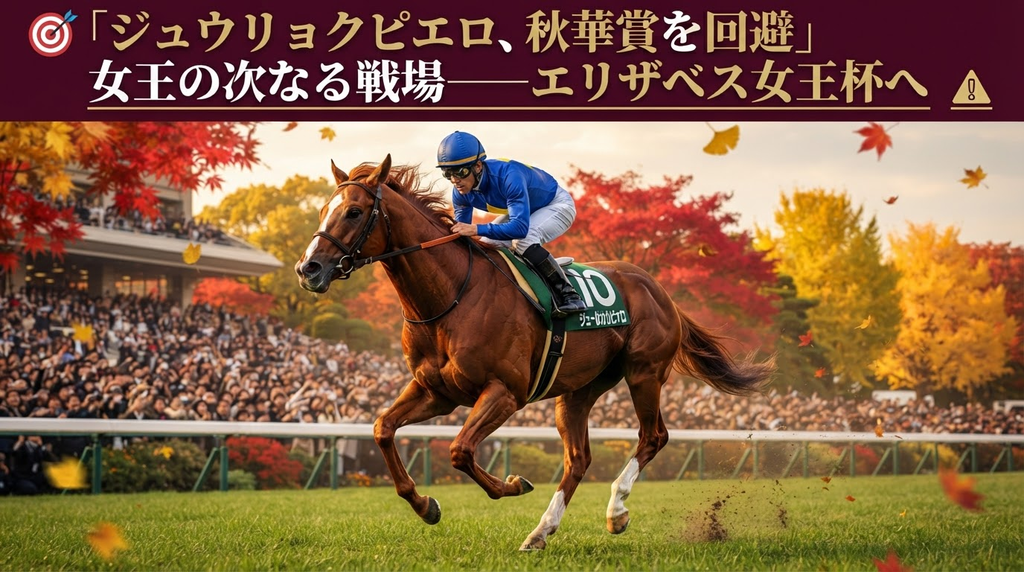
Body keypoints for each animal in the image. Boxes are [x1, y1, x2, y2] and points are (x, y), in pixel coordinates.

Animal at [295, 155, 775, 551]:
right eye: (322, 211)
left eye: (354, 212)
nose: (308, 269)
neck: (450, 297)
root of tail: (660, 290)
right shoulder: (436, 392)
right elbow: (382, 429)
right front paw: (425, 504)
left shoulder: (506, 392)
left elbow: (460, 451)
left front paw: (512, 483)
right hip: (578, 390)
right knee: (578, 460)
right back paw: (541, 531)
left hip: (644, 372)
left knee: (652, 437)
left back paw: (616, 511)